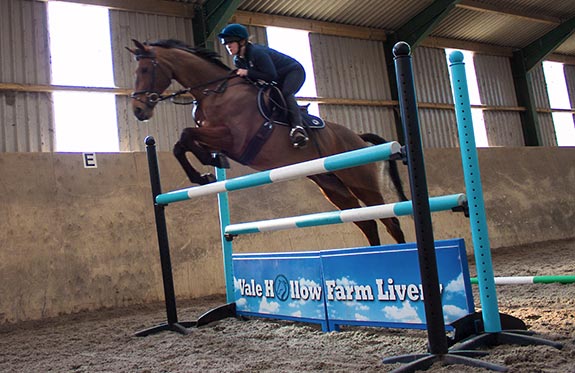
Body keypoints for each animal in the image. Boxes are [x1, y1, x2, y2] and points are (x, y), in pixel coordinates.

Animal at [130, 39, 410, 246]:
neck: (216, 92)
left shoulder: (235, 140)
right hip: (332, 186)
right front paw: (205, 172)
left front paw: (209, 166)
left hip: (360, 182)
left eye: (144, 70)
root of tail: (357, 137)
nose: (138, 110)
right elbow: (182, 144)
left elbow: (187, 135)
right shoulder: (216, 137)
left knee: (390, 221)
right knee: (367, 222)